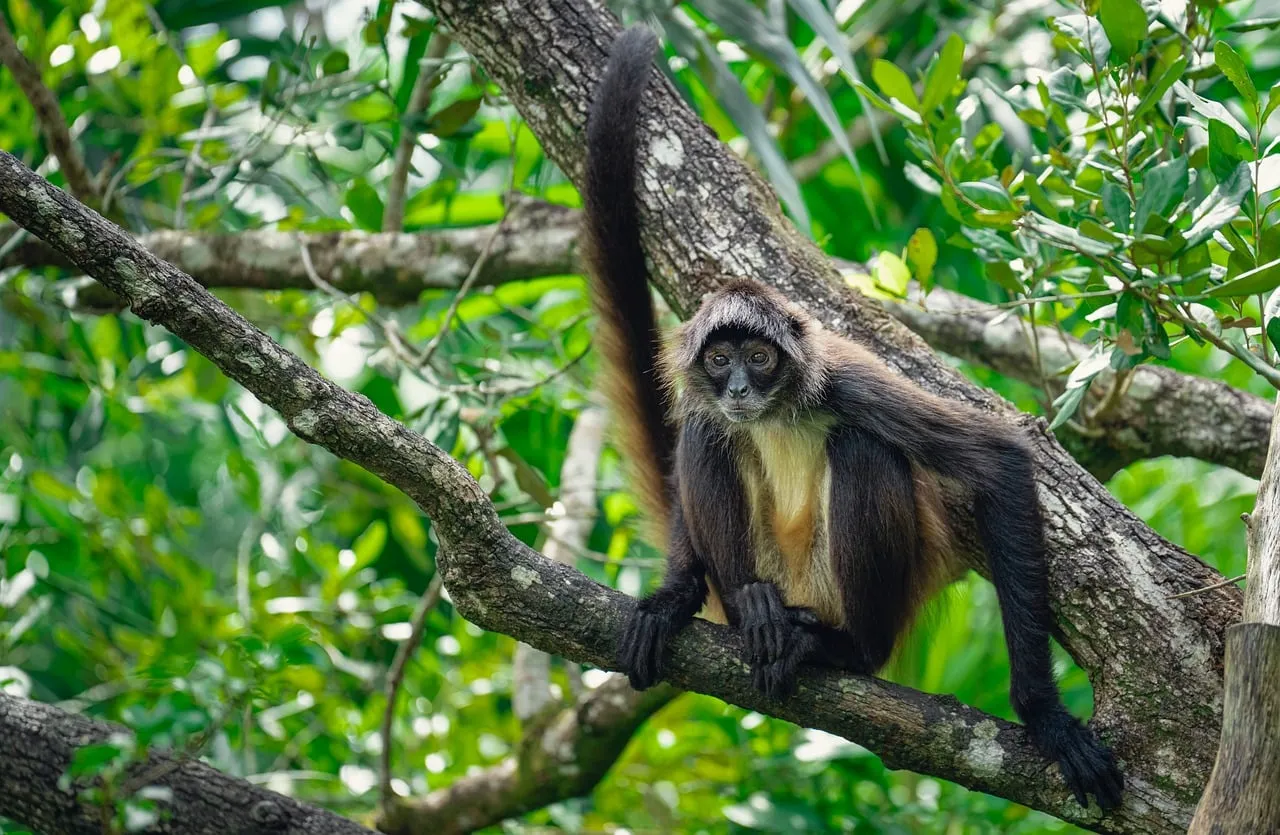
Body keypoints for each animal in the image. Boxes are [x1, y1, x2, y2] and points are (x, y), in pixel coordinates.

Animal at [580, 24, 1124, 811]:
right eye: (721, 359)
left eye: (760, 357)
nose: (738, 385)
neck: (776, 410)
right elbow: (700, 441)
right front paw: (672, 597)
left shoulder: (846, 383)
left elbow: (998, 459)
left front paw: (1047, 719)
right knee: (711, 438)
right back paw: (754, 612)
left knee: (863, 451)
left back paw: (839, 648)